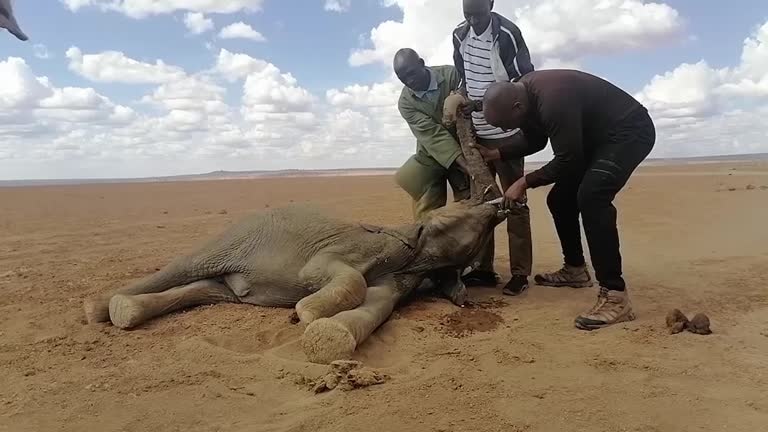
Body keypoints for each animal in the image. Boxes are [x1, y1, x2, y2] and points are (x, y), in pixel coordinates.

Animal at [84, 201, 508, 362]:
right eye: (460, 208)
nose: (501, 204)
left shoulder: (402, 280)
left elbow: (377, 305)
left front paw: (324, 335)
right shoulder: (356, 248)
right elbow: (336, 277)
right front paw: (303, 314)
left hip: (227, 284)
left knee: (200, 289)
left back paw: (125, 310)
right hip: (231, 238)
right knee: (183, 268)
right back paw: (98, 310)